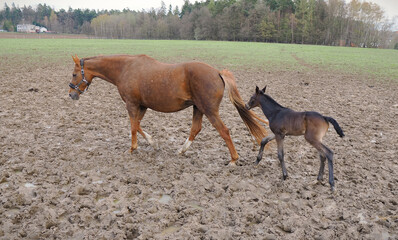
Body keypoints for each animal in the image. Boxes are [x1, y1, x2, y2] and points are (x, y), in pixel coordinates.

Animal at [68, 54, 268, 166]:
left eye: (74, 73)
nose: (71, 94)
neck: (126, 68)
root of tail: (218, 72)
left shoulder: (131, 104)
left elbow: (133, 126)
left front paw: (133, 148)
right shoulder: (142, 106)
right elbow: (137, 125)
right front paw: (153, 143)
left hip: (209, 110)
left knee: (224, 131)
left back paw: (233, 160)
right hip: (198, 108)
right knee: (196, 129)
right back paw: (181, 150)